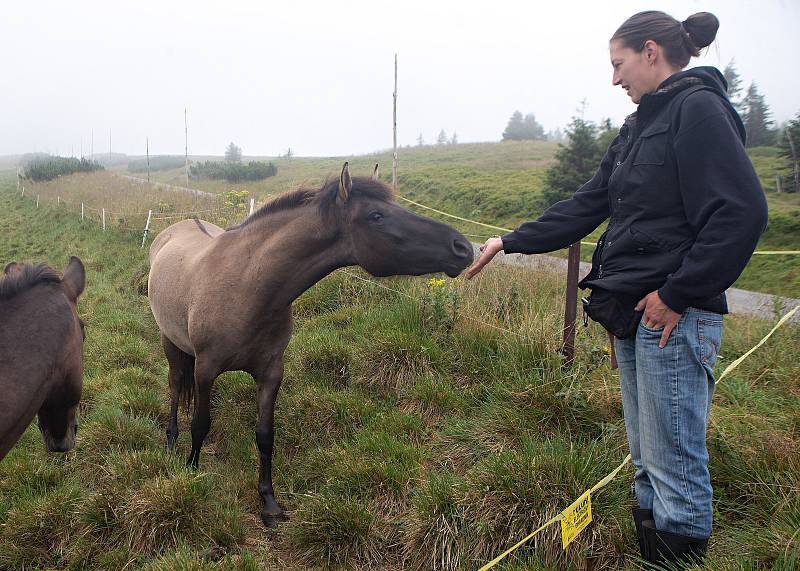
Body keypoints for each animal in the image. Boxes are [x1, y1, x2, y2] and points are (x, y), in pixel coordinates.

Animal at [147, 163, 472, 524]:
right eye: (376, 215)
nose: (462, 247)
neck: (247, 285)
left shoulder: (271, 373)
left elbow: (265, 435)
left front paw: (269, 502)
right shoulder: (206, 369)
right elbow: (201, 424)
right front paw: (192, 471)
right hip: (170, 342)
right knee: (176, 385)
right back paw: (171, 441)